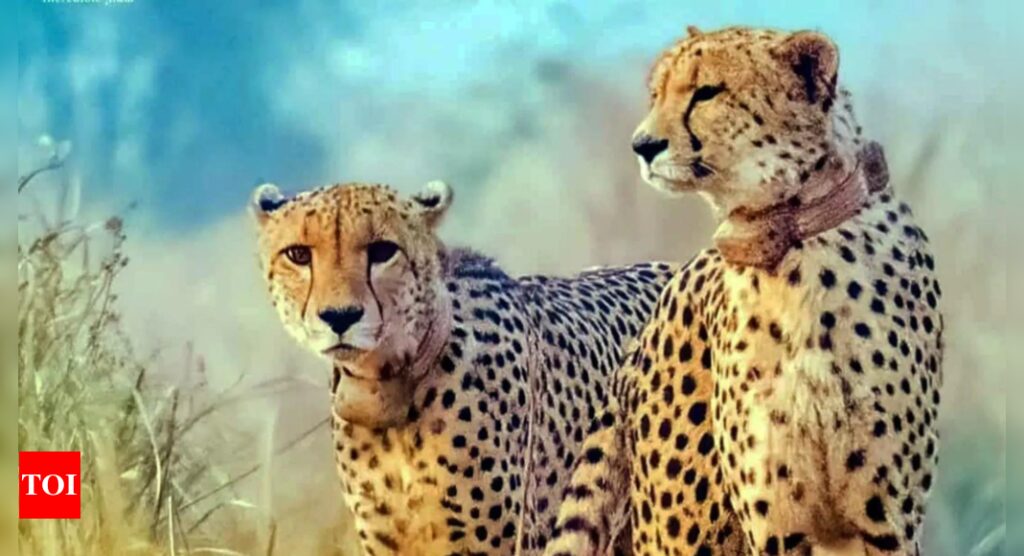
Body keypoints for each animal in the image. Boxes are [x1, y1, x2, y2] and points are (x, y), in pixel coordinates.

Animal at [546, 25, 944, 556]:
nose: (643, 145)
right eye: (657, 94)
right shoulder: (776, 527)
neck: (792, 242)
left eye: (707, 92)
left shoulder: (888, 520)